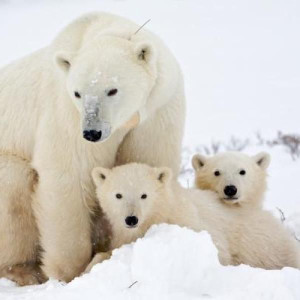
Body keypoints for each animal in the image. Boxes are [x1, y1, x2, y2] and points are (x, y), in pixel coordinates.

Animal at [0, 12, 185, 284]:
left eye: (112, 89)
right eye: (78, 93)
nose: (92, 132)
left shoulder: (157, 111)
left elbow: (147, 163)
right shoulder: (66, 112)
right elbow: (69, 176)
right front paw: (73, 271)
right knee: (14, 190)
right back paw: (24, 271)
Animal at [85, 164, 300, 272]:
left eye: (144, 195)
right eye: (118, 195)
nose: (131, 219)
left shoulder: (190, 224)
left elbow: (218, 251)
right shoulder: (123, 235)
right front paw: (92, 265)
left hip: (262, 243)